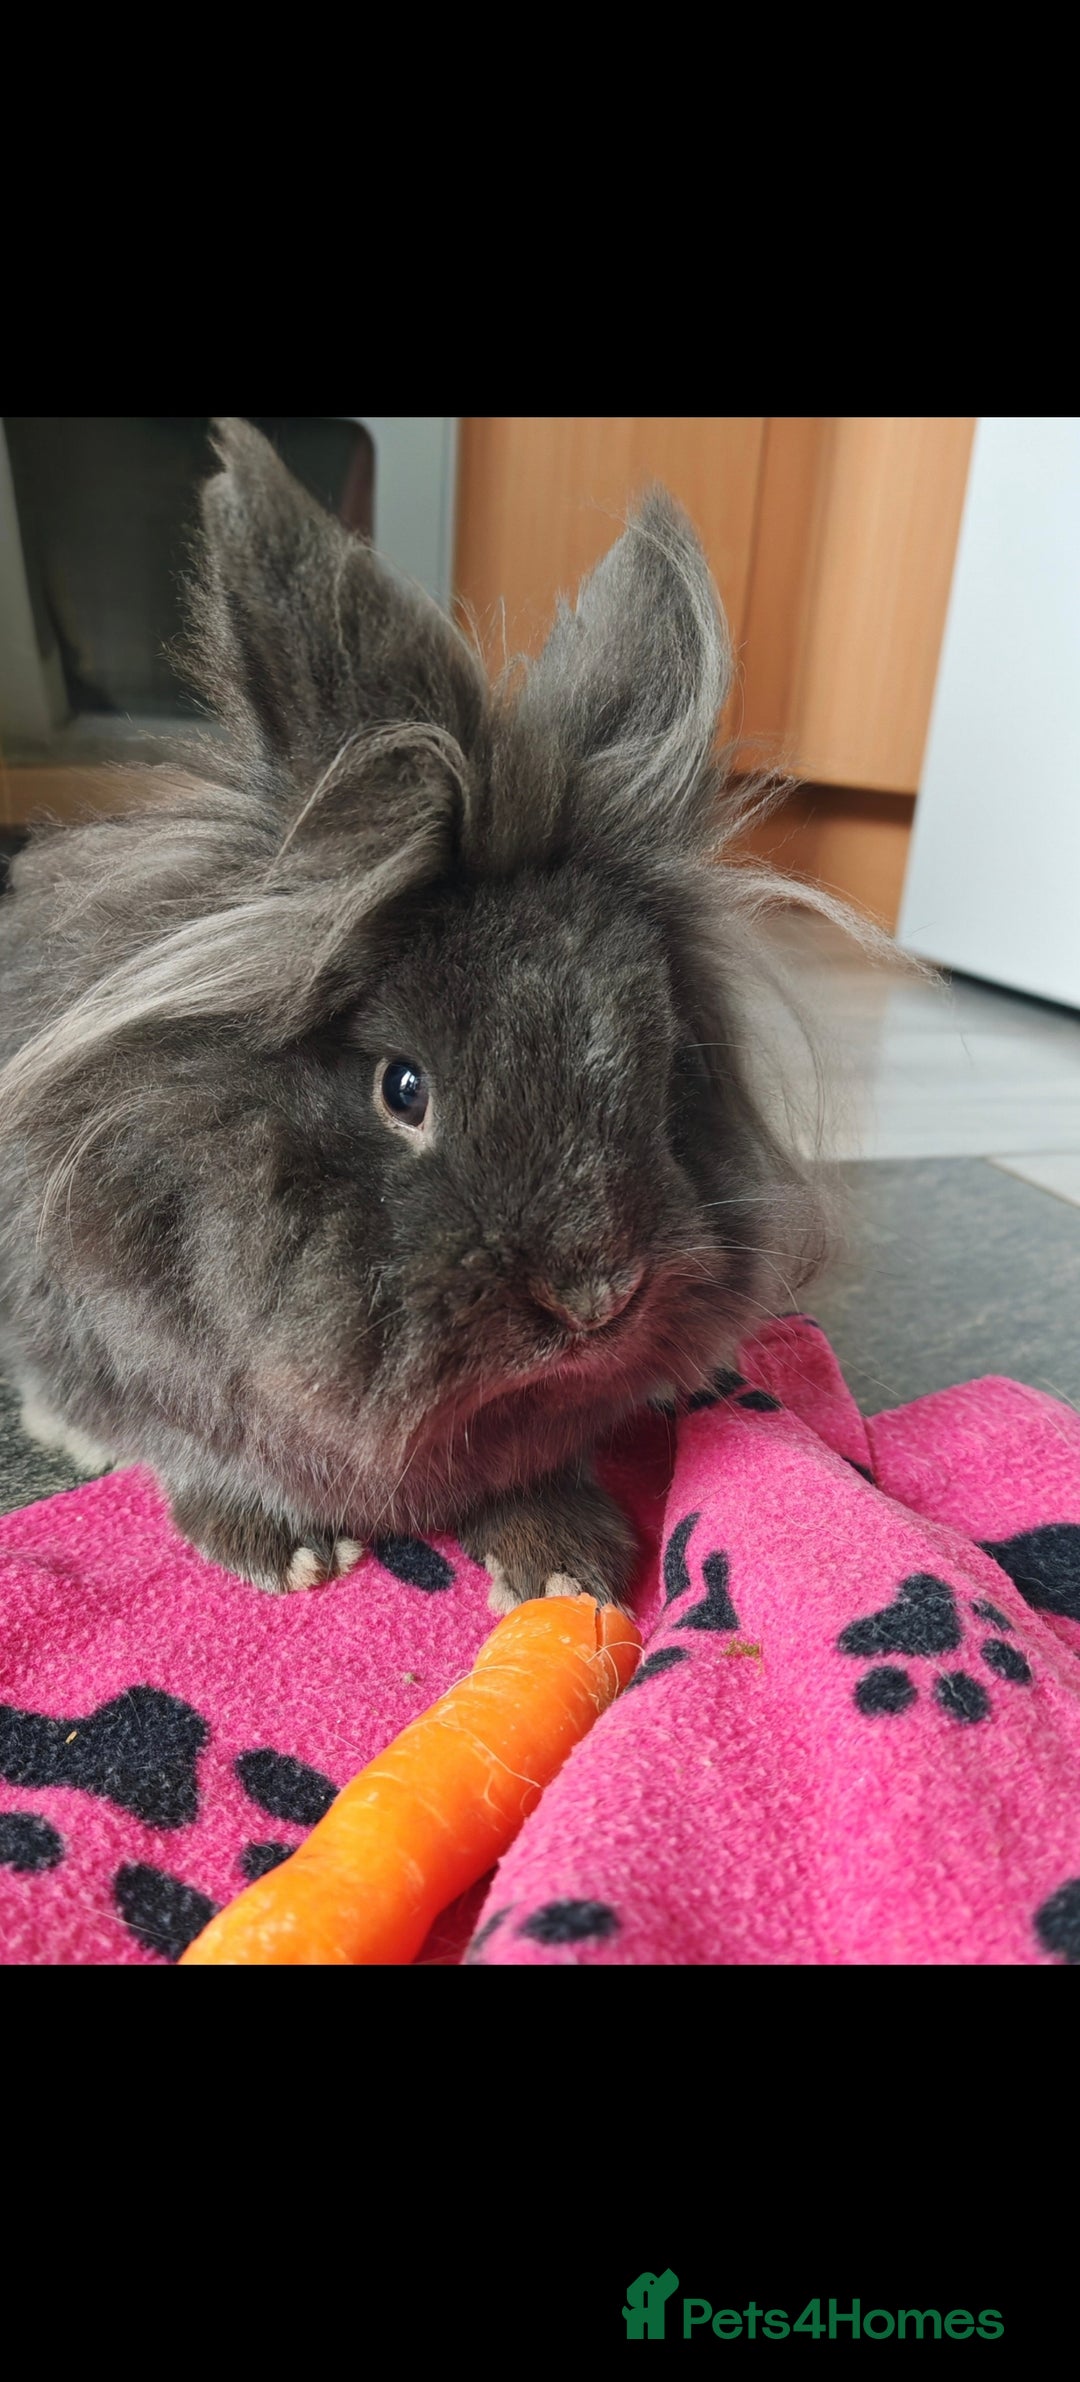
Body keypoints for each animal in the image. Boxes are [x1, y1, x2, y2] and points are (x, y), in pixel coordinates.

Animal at [0, 418, 832, 1610]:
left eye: (668, 1063)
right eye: (403, 1086)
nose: (595, 1297)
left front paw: (562, 1564)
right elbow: (196, 1443)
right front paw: (283, 1550)